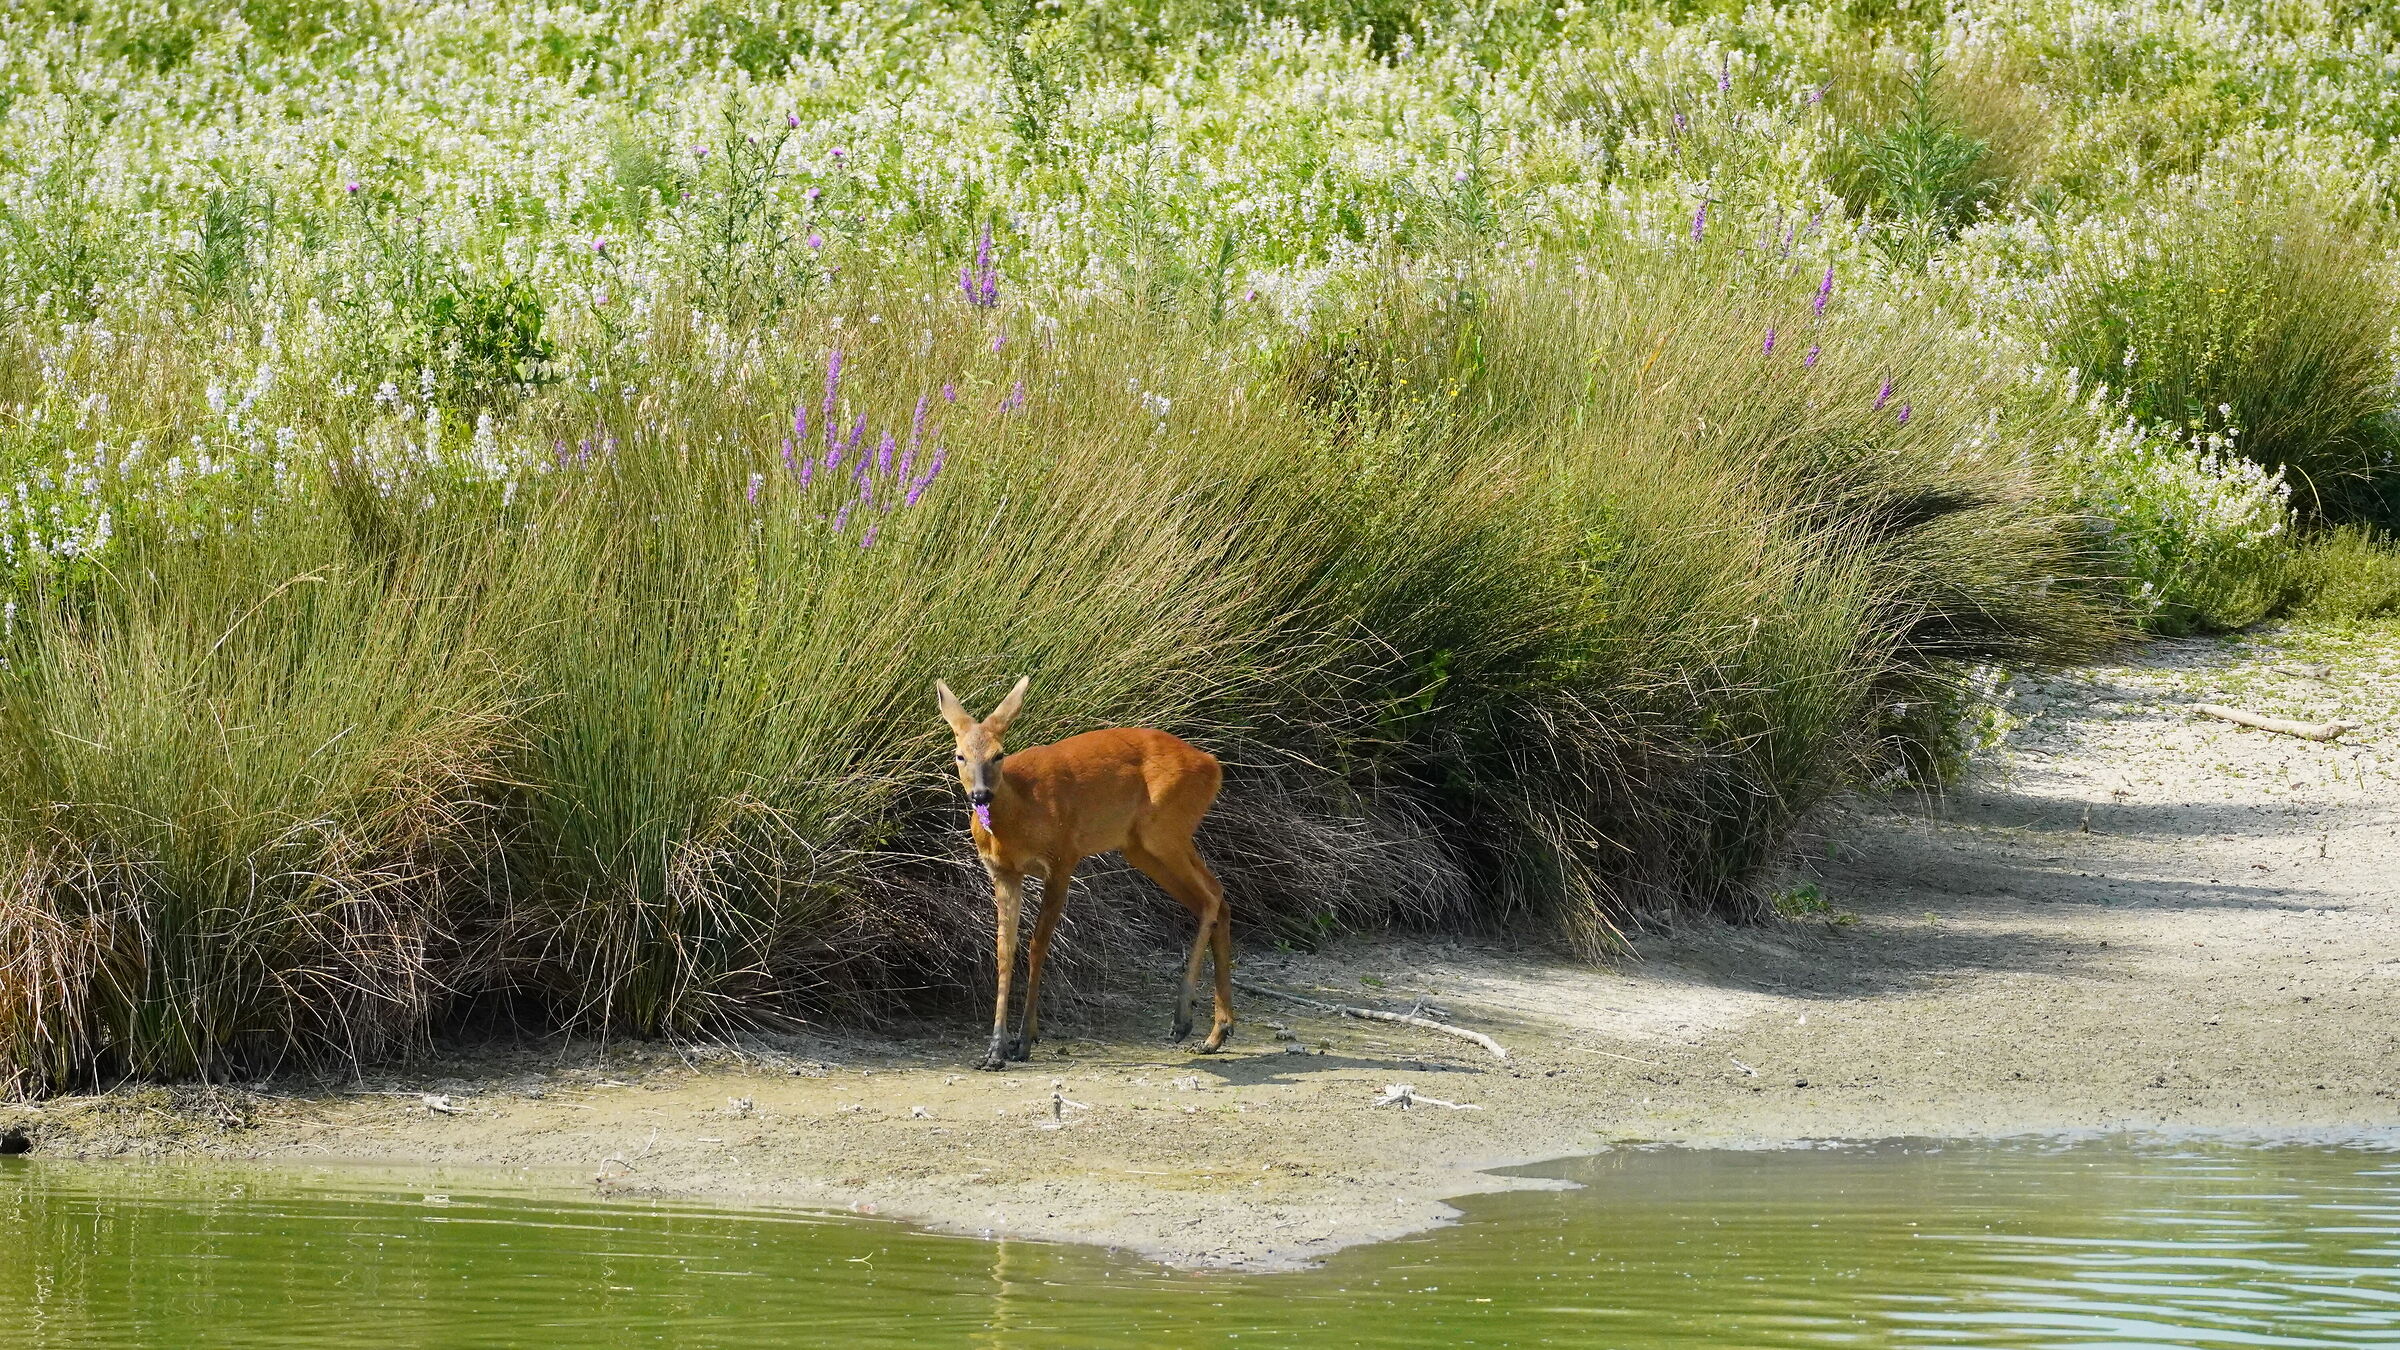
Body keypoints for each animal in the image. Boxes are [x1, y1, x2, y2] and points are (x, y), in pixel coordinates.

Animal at [936, 677, 1234, 1072]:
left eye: (999, 754)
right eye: (960, 755)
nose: (981, 795)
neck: (1019, 815)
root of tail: (1213, 765)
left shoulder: (1063, 858)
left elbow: (1037, 945)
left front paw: (1023, 1041)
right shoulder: (1004, 872)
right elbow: (1004, 950)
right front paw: (995, 1050)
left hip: (1165, 829)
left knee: (1213, 895)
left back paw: (1183, 1020)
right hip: (1141, 846)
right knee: (1214, 898)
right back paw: (1216, 1034)